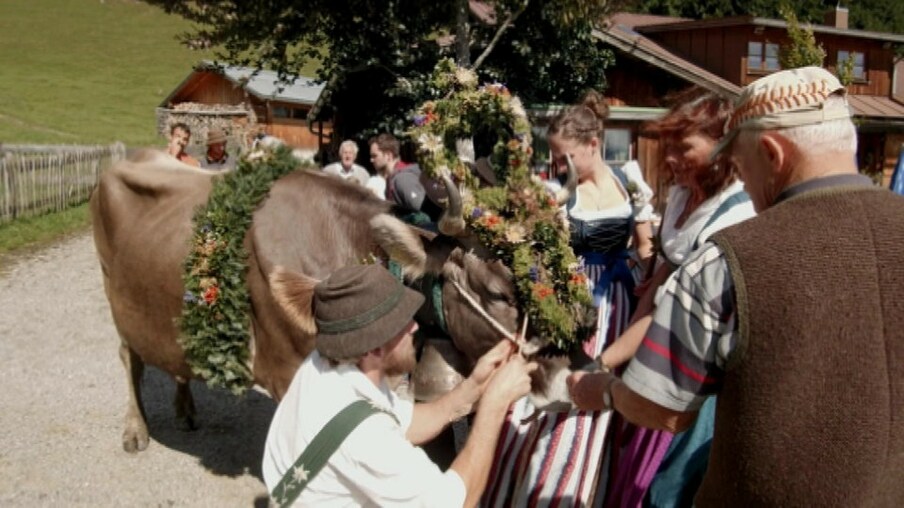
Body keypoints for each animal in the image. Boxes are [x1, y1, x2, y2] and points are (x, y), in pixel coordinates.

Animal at [93, 150, 572, 452]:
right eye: (497, 293)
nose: (565, 379)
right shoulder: (287, 373)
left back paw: (186, 409)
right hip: (111, 287)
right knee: (128, 355)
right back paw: (136, 430)